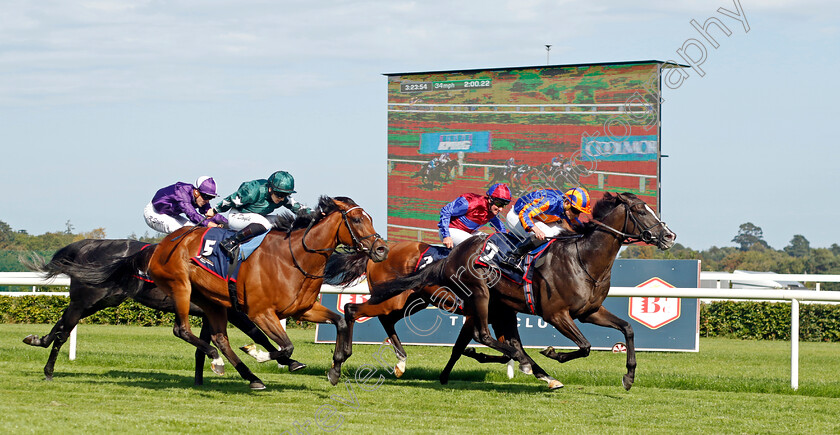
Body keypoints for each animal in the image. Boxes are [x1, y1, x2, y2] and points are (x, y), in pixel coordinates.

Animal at [21, 238, 306, 384]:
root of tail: (85, 245)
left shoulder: (211, 312)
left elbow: (208, 345)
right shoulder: (235, 311)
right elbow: (256, 335)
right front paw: (282, 361)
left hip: (103, 301)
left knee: (62, 323)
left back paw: (36, 339)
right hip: (88, 299)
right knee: (64, 332)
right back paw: (48, 371)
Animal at [65, 196, 388, 390]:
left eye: (369, 218)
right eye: (357, 220)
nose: (381, 249)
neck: (293, 257)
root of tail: (159, 246)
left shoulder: (303, 309)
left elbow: (341, 321)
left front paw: (336, 367)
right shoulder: (260, 311)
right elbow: (284, 346)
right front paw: (261, 354)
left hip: (212, 301)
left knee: (220, 337)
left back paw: (249, 377)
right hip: (181, 287)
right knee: (182, 330)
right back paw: (219, 360)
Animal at [344, 192, 680, 390]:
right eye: (640, 210)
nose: (669, 236)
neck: (583, 259)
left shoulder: (589, 312)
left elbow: (628, 329)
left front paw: (629, 376)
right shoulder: (555, 314)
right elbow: (584, 346)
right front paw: (551, 354)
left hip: (429, 301)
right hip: (471, 294)